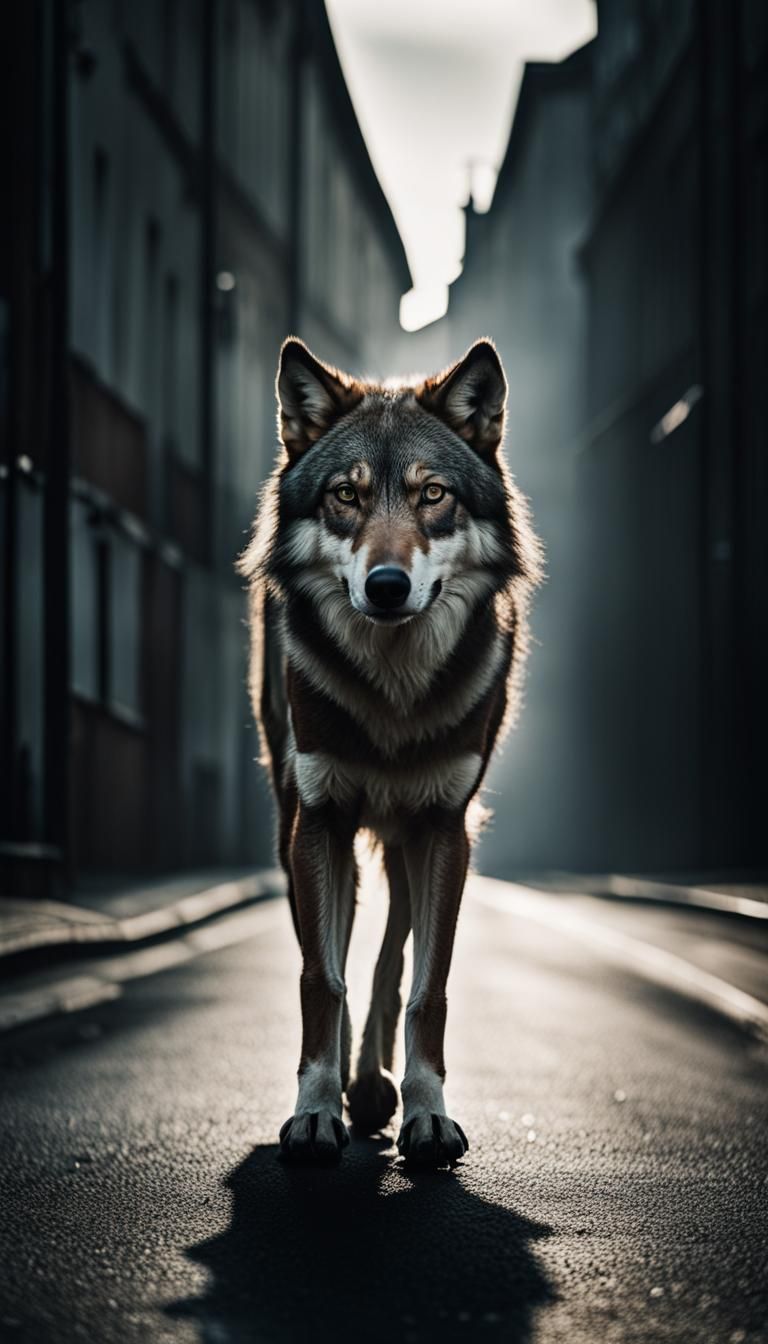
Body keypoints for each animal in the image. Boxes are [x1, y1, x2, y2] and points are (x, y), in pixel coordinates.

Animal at [238, 336, 541, 1166]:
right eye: (347, 495)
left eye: (432, 494)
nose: (385, 585)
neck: (392, 696)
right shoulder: (319, 820)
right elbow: (322, 978)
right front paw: (316, 1110)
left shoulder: (444, 827)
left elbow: (424, 989)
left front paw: (427, 1114)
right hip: (298, 832)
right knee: (341, 957)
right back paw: (353, 1089)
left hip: (409, 841)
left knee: (389, 957)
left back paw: (376, 1089)